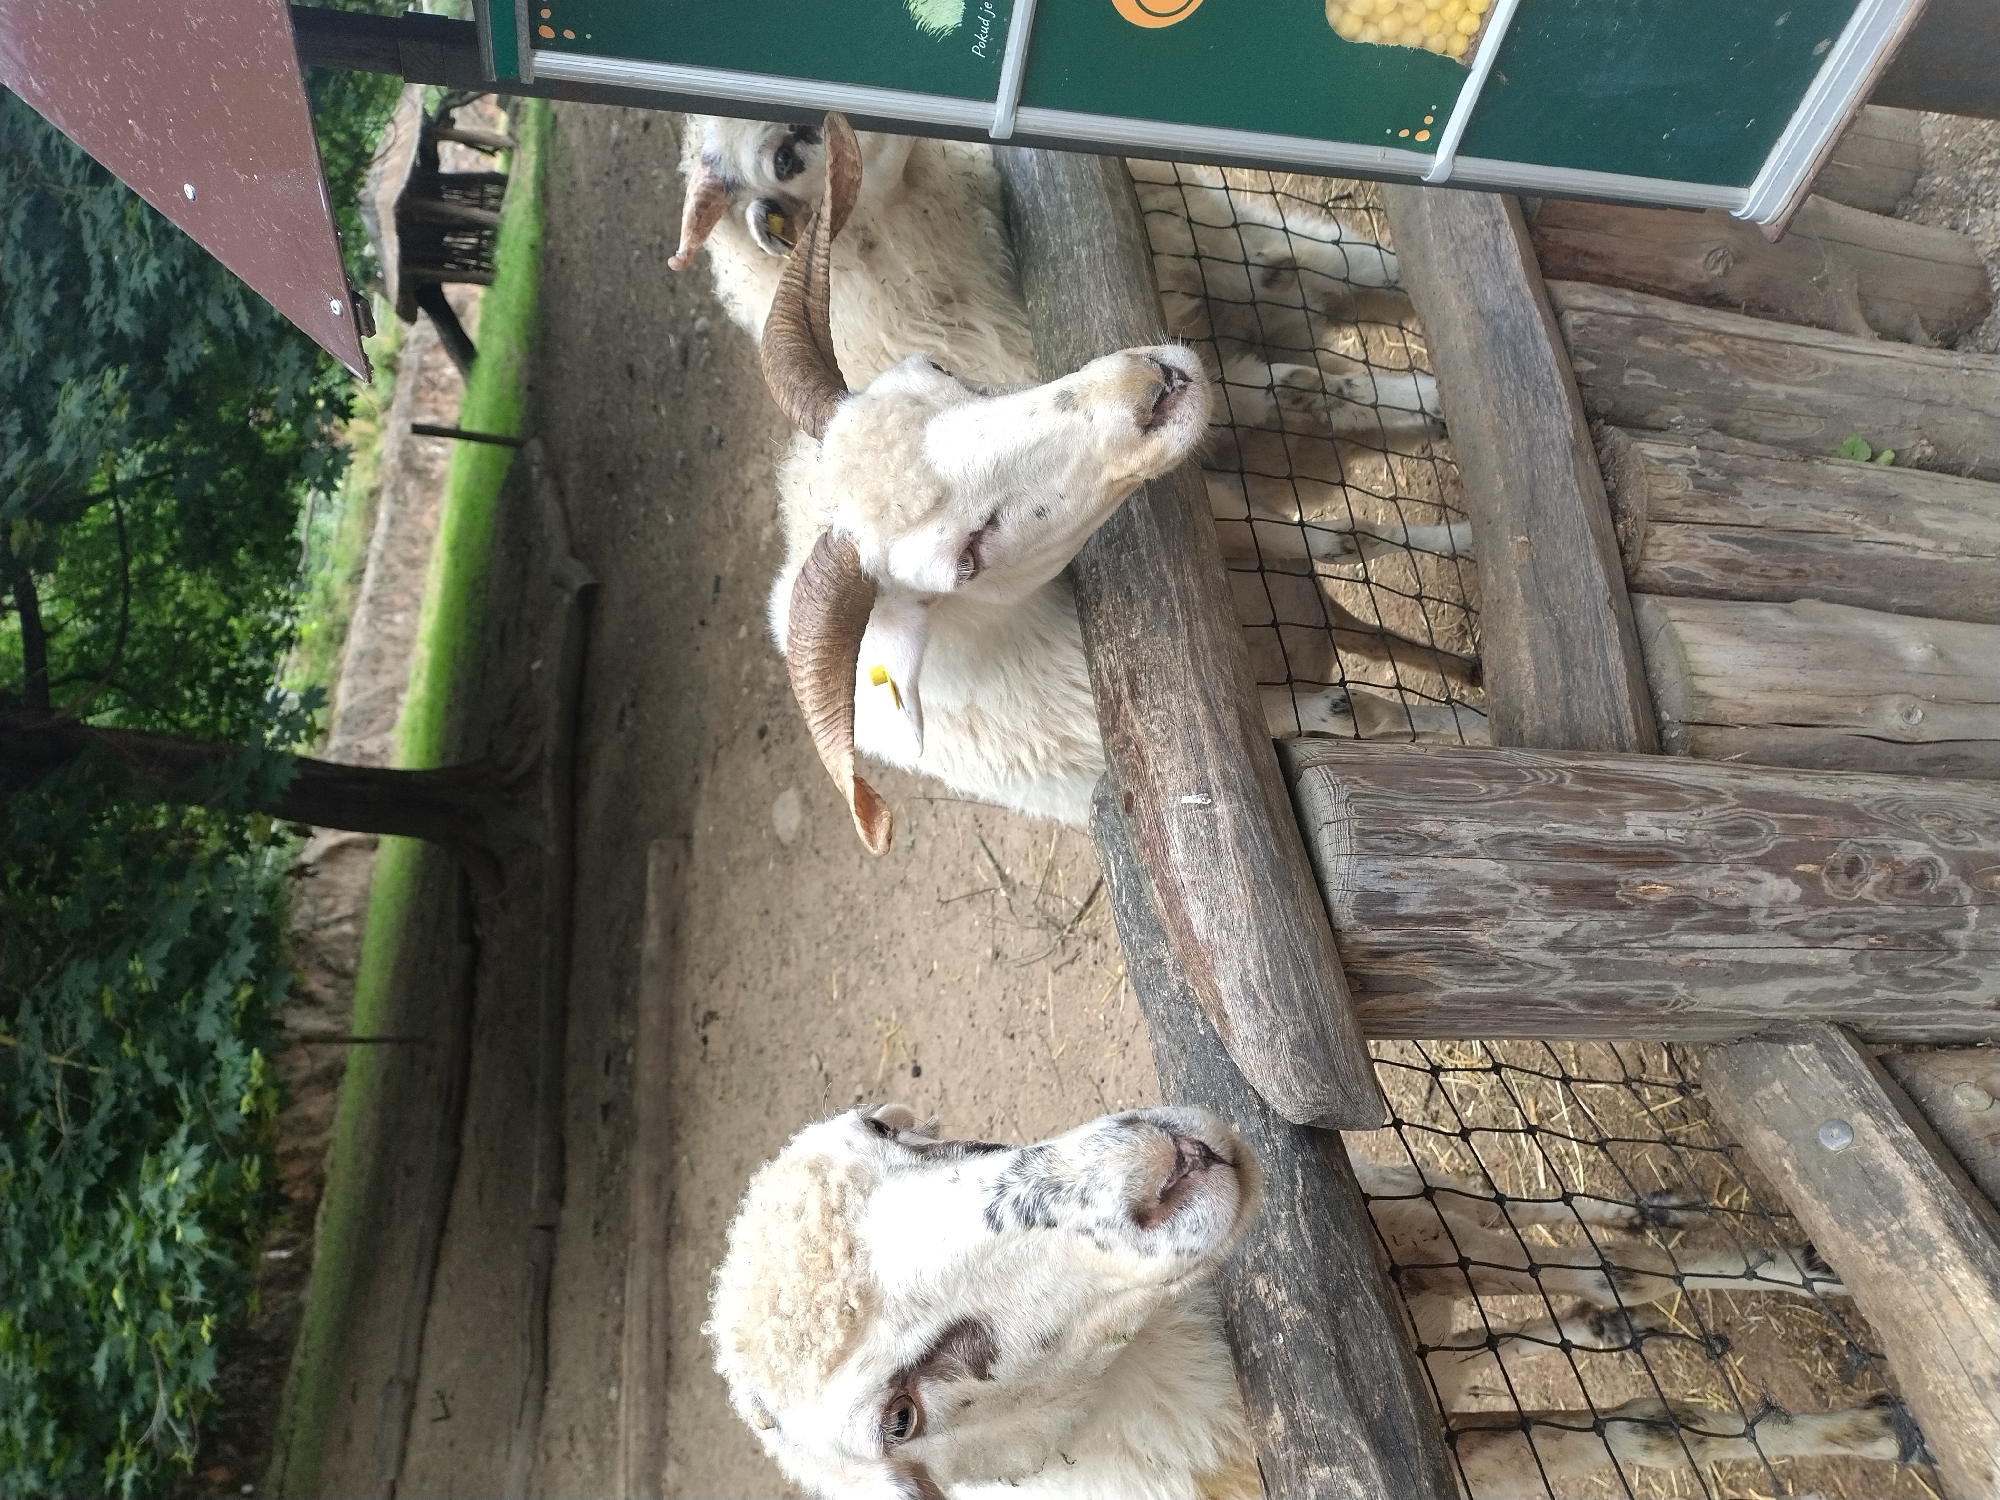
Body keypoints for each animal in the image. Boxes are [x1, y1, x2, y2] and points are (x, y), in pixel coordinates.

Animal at [709, 1103, 1925, 1500]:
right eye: (896, 1416)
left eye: (893, 1129)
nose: (1156, 1168)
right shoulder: (1440, 1446)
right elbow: (1635, 1432)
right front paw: (1872, 1432)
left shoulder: (1390, 1228)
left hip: (1390, 1202)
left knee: (1536, 1241)